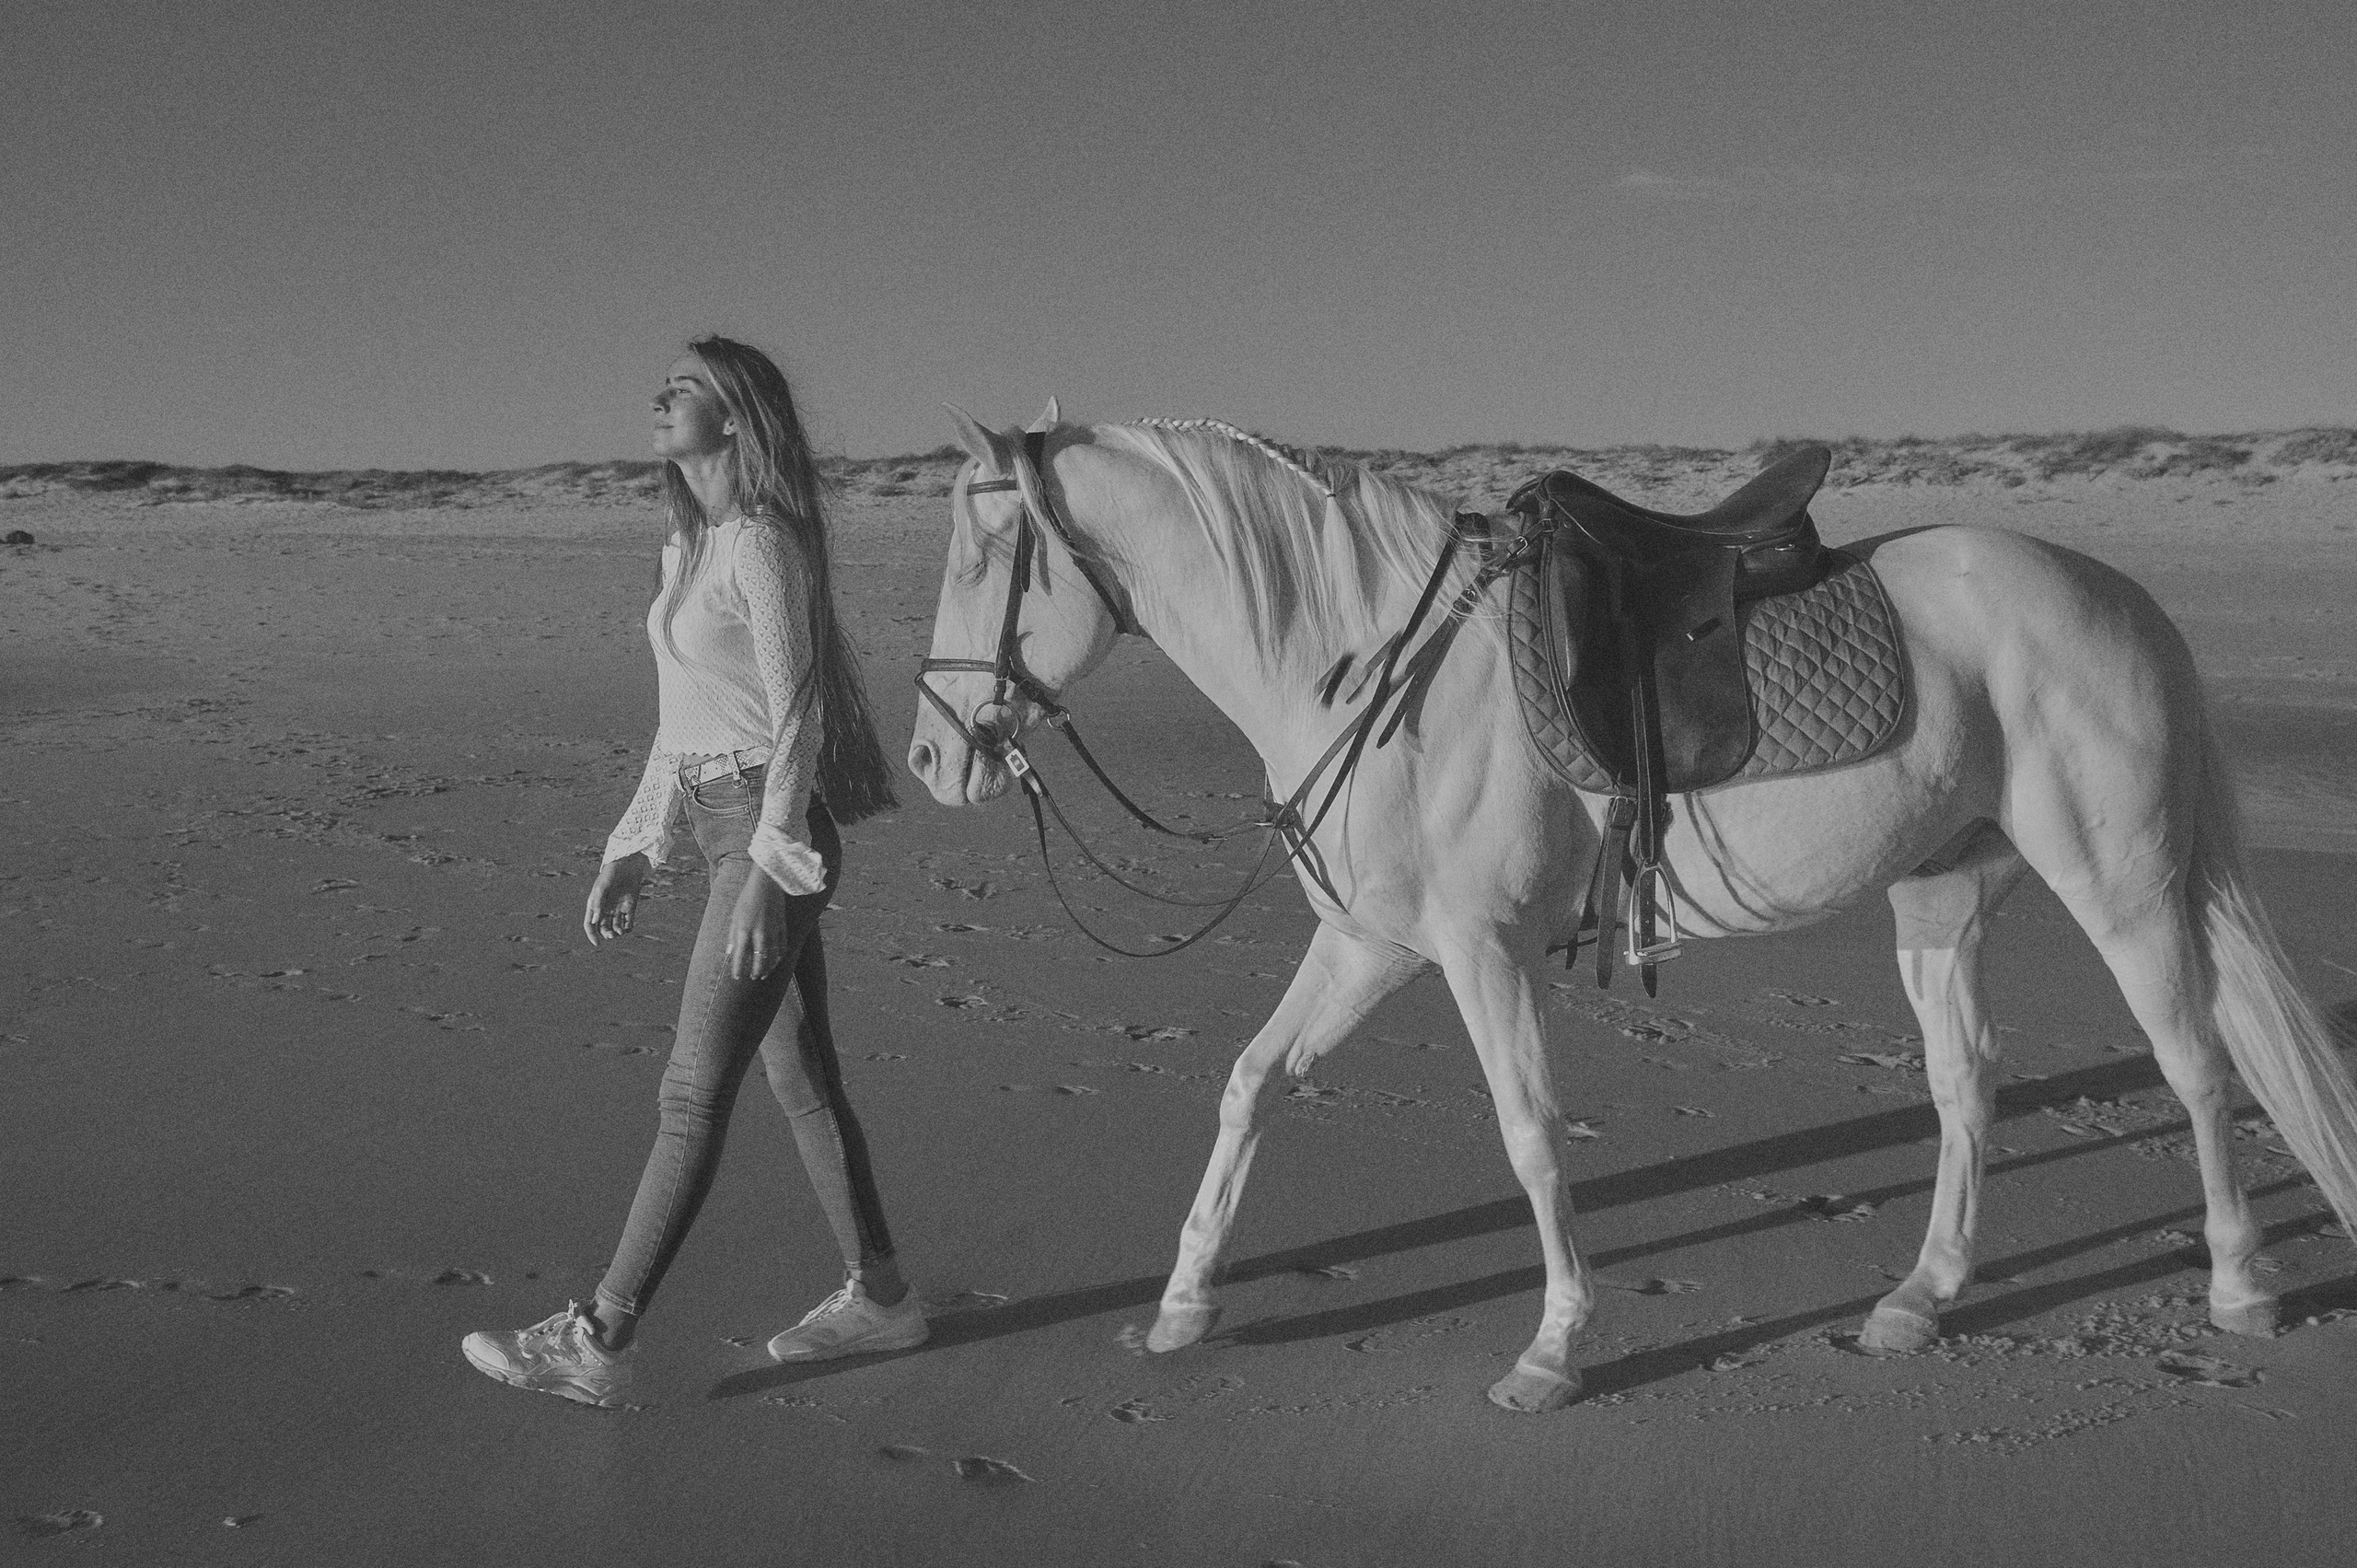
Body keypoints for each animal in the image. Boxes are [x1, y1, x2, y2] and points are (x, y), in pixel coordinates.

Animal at [903, 406, 2357, 1413]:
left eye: (990, 548)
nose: (927, 758)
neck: (1372, 663)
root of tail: (2124, 595)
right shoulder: (1368, 941)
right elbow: (1252, 1082)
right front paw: (1183, 1300)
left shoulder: (1479, 951)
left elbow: (1531, 1134)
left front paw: (1554, 1347)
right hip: (1944, 891)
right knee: (1967, 1085)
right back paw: (1920, 1295)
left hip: (2121, 880)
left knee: (2194, 1061)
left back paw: (2240, 1283)